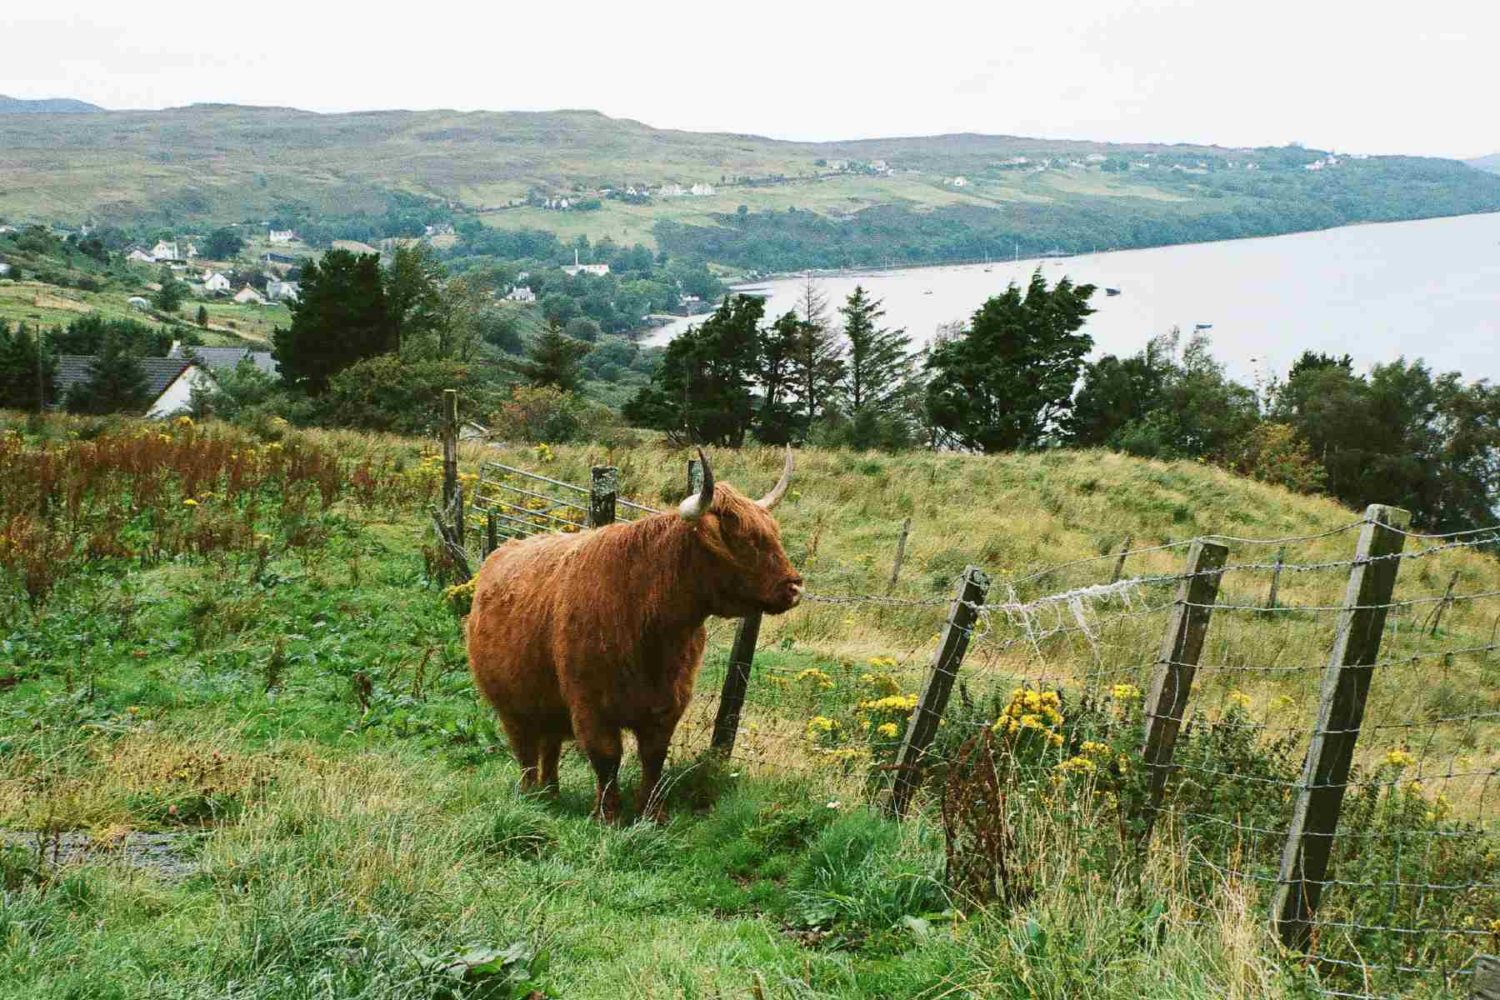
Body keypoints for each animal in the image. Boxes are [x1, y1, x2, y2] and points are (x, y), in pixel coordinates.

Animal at [468, 452, 804, 821]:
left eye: (774, 533)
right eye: (743, 538)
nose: (794, 587)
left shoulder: (667, 704)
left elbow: (653, 758)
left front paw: (652, 813)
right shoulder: (590, 706)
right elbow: (607, 758)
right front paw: (608, 816)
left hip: (547, 703)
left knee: (550, 747)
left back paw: (550, 794)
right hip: (512, 705)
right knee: (526, 751)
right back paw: (532, 795)